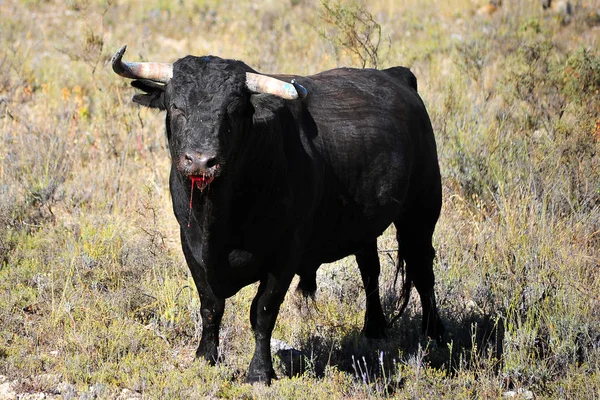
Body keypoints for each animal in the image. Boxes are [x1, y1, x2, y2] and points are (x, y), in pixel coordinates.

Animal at [112, 46, 442, 384]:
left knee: (422, 270)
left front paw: (259, 371)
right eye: (176, 106)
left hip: (421, 209)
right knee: (370, 269)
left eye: (232, 110)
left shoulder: (285, 254)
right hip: (365, 226)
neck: (218, 215)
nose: (201, 161)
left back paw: (434, 334)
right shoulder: (191, 246)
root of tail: (396, 75)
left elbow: (263, 312)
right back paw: (374, 328)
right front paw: (205, 357)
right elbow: (210, 306)